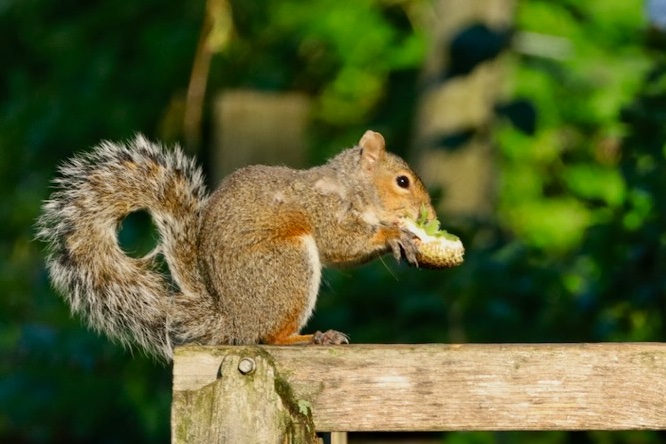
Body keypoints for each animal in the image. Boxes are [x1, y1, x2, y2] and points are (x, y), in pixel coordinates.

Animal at [37, 130, 436, 361]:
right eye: (402, 181)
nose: (428, 215)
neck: (352, 188)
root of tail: (232, 319)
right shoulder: (322, 210)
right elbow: (341, 243)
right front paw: (395, 236)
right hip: (286, 265)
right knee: (268, 336)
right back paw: (310, 338)